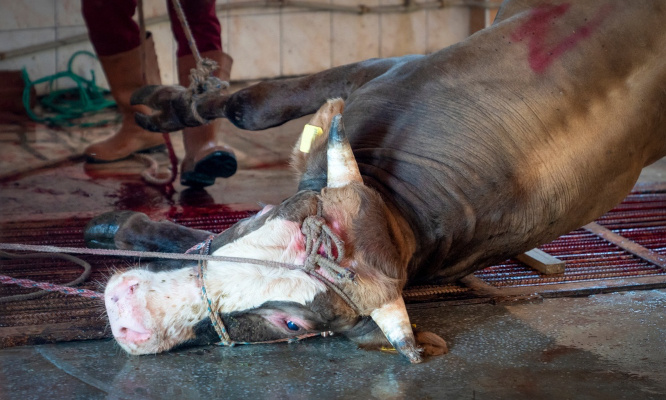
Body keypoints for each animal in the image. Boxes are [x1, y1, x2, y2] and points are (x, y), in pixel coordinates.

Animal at [87, 0, 664, 362]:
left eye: (292, 324)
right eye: (267, 216)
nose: (129, 312)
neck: (407, 210)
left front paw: (121, 225)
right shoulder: (389, 68)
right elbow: (251, 105)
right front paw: (167, 105)